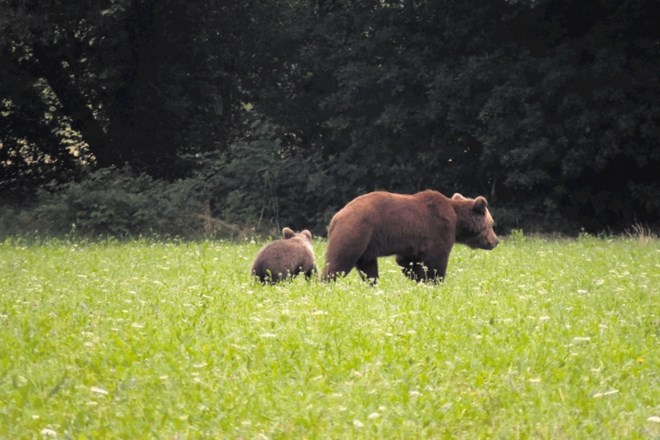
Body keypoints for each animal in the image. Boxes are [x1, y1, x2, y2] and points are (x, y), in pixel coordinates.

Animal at [322, 190, 498, 282]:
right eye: (491, 224)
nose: (495, 241)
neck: (457, 219)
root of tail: (336, 217)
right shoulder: (439, 229)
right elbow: (436, 261)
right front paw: (435, 281)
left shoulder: (412, 243)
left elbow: (407, 261)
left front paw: (418, 278)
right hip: (357, 231)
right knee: (339, 261)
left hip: (368, 244)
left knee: (368, 268)